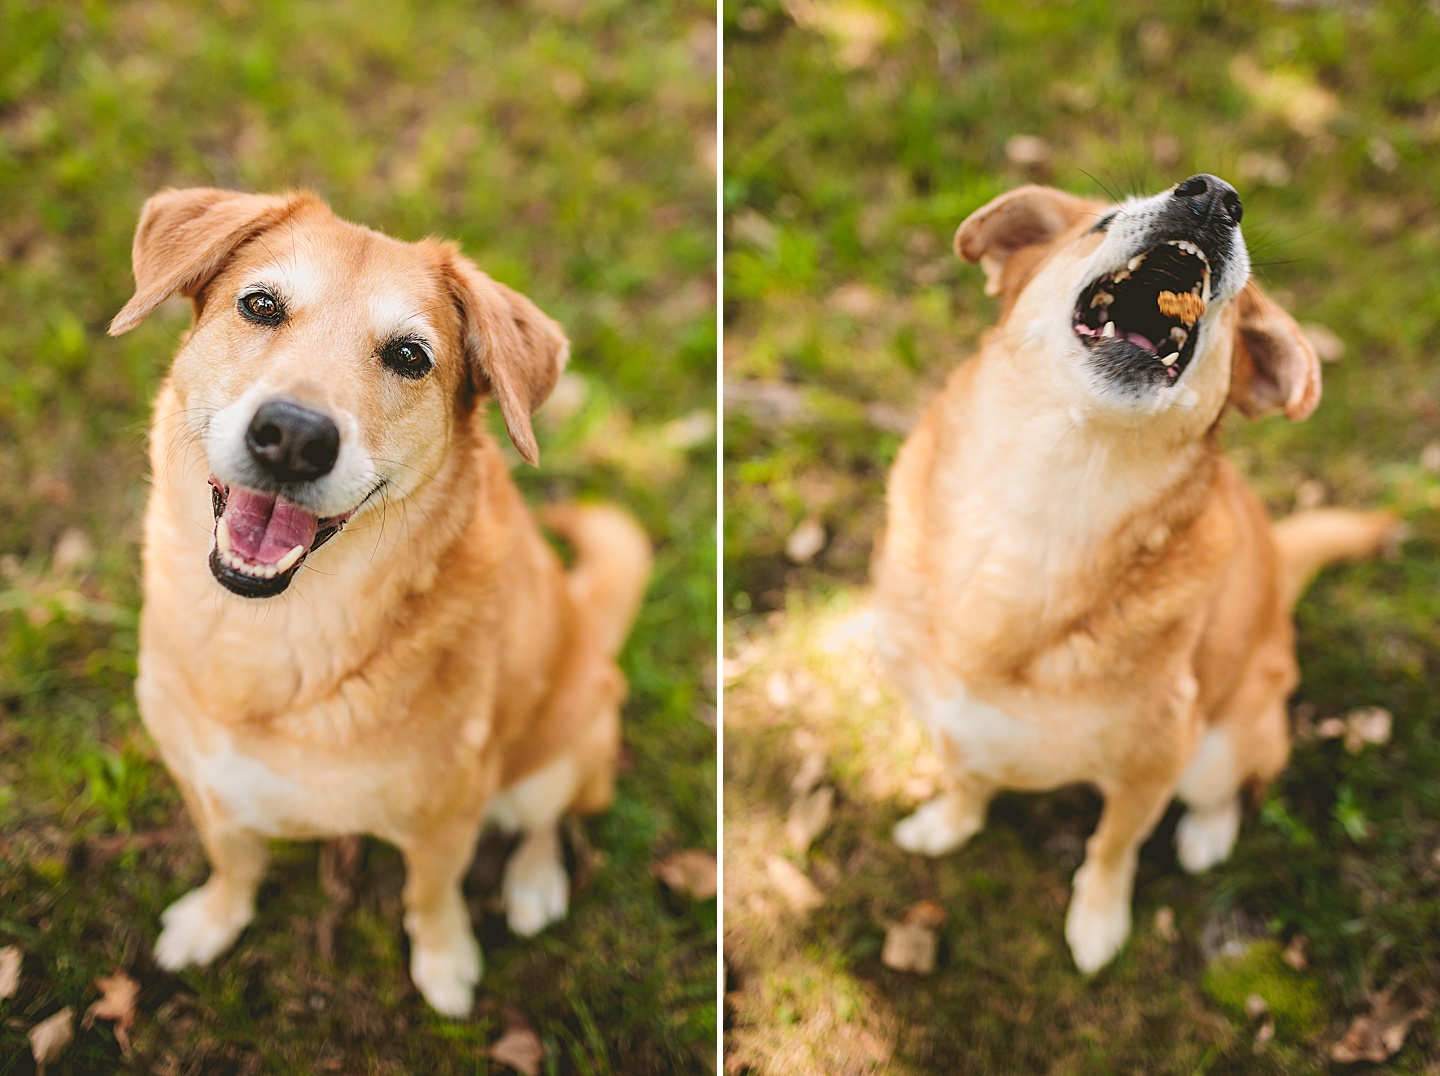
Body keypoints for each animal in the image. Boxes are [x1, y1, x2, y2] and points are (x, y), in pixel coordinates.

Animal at [109, 191, 650, 1019]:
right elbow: (234, 865)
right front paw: (213, 920)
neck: (271, 635)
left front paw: (446, 962)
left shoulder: (445, 822)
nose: (292, 436)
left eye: (409, 357)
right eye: (260, 305)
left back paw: (534, 882)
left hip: (565, 753)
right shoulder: (208, 789)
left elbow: (430, 898)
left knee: (547, 823)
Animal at [869, 172, 1399, 973]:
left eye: (1238, 303)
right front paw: (949, 822)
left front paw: (1098, 921)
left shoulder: (1152, 766)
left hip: (1225, 744)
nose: (1212, 196)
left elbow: (1112, 846)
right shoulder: (946, 718)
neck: (1045, 505)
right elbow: (966, 778)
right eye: (1103, 221)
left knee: (1231, 792)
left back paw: (1207, 835)